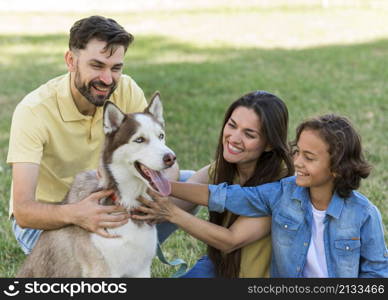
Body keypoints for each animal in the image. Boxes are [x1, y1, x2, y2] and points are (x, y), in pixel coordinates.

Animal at [16, 92, 176, 278]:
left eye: (161, 136)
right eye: (139, 139)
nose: (171, 158)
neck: (126, 203)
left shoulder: (141, 269)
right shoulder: (102, 270)